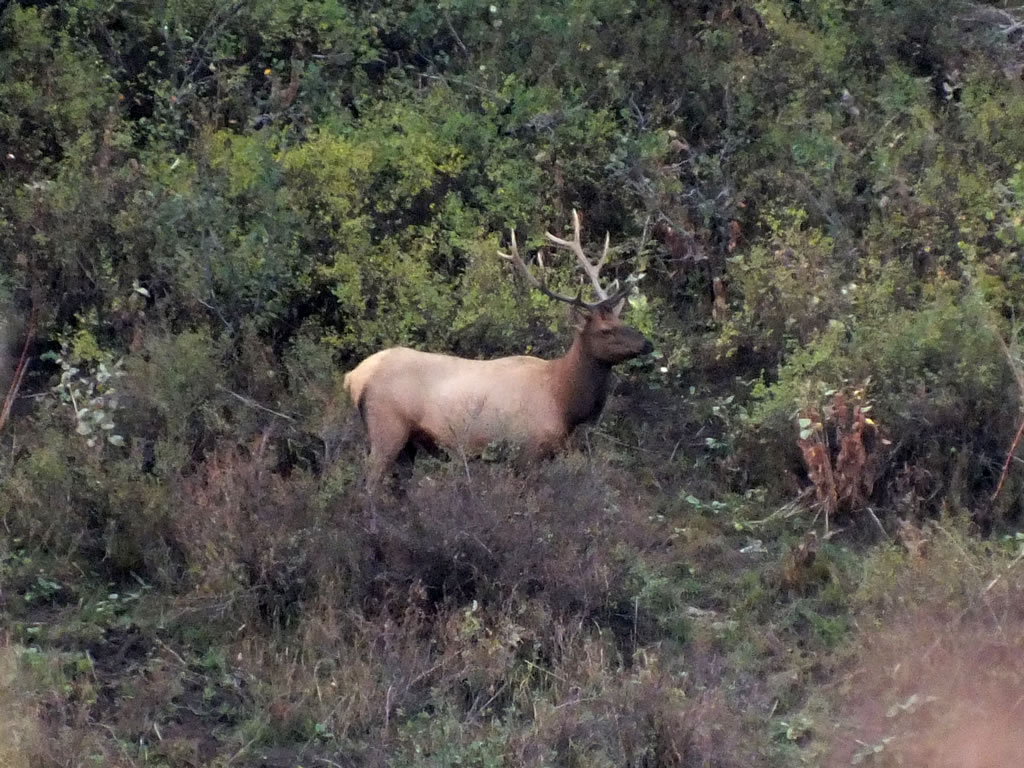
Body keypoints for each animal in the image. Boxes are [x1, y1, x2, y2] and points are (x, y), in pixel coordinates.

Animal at [343, 210, 653, 491]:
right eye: (605, 330)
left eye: (621, 321)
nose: (647, 343)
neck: (563, 401)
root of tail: (354, 377)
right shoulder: (527, 451)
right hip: (387, 428)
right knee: (369, 486)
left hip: (408, 444)